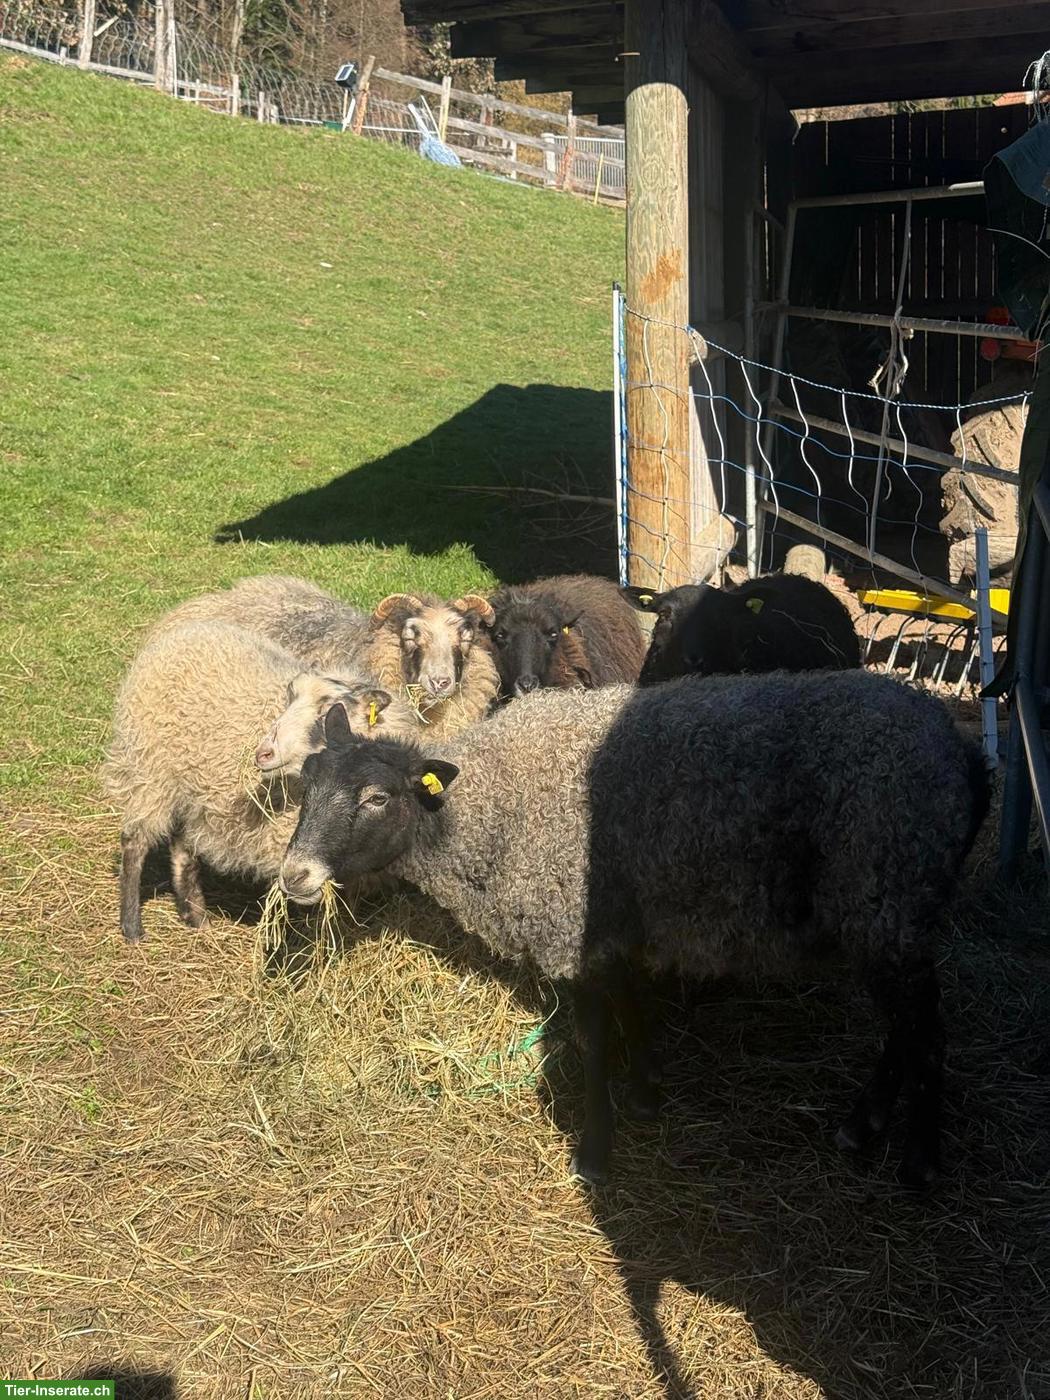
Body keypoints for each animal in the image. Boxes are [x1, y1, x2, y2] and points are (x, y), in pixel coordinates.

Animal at [103, 620, 415, 944]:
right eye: (289, 699)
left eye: (330, 710)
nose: (263, 752)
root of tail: (187, 632)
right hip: (150, 771)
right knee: (135, 842)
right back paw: (132, 927)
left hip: (192, 788)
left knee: (182, 849)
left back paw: (197, 918)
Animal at [279, 670, 987, 1189]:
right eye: (307, 783)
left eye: (376, 797)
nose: (294, 875)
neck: (484, 813)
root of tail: (960, 749)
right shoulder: (610, 927)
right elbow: (631, 1004)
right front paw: (647, 1091)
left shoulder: (571, 926)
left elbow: (593, 1041)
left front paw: (596, 1151)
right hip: (885, 916)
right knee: (904, 1027)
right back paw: (865, 1125)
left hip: (888, 893)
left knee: (926, 1030)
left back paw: (921, 1160)